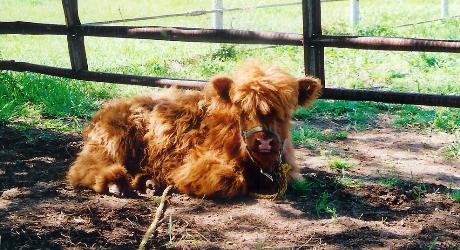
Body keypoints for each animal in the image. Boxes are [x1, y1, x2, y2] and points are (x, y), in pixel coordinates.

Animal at [67, 63, 320, 198]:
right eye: (242, 109)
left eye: (285, 111)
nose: (264, 142)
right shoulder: (194, 163)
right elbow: (228, 179)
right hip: (112, 143)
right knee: (82, 169)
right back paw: (114, 183)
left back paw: (147, 182)